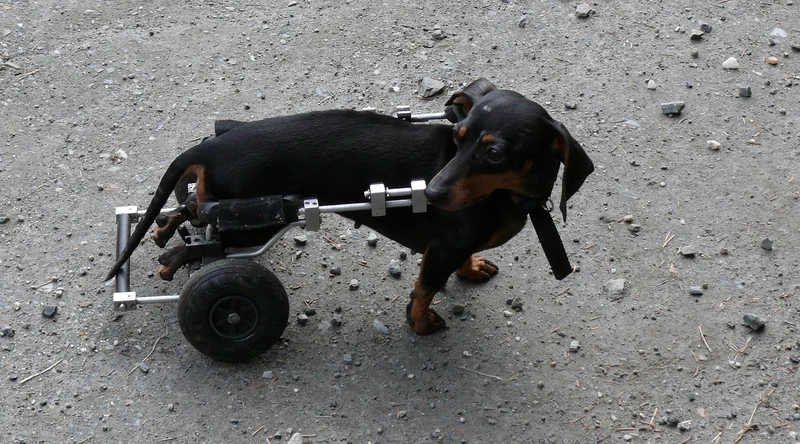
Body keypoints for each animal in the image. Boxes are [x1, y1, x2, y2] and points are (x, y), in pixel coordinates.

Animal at [105, 78, 593, 335]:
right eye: (458, 139)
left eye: (494, 153)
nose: (431, 194)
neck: (506, 196)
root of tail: (212, 146)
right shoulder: (441, 248)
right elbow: (425, 289)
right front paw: (421, 322)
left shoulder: (453, 244)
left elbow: (459, 265)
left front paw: (472, 269)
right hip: (250, 223)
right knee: (198, 246)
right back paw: (171, 259)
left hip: (227, 209)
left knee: (189, 208)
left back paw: (163, 229)